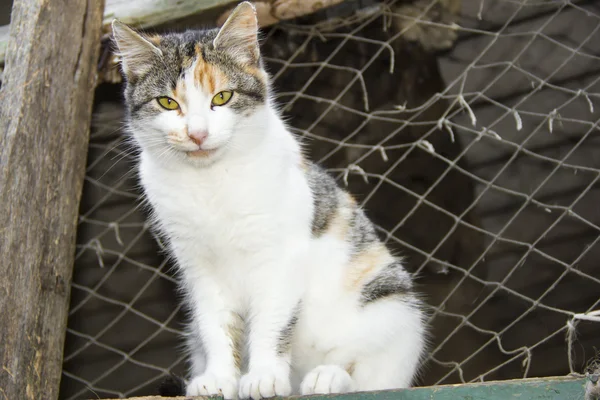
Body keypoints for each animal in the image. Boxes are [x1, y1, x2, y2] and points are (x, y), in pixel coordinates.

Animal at [110, 2, 424, 396]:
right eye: (167, 103)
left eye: (222, 97)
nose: (197, 134)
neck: (209, 182)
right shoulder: (198, 267)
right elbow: (216, 327)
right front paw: (219, 379)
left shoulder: (279, 257)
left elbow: (272, 323)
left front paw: (263, 376)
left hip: (392, 305)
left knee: (371, 376)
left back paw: (328, 377)